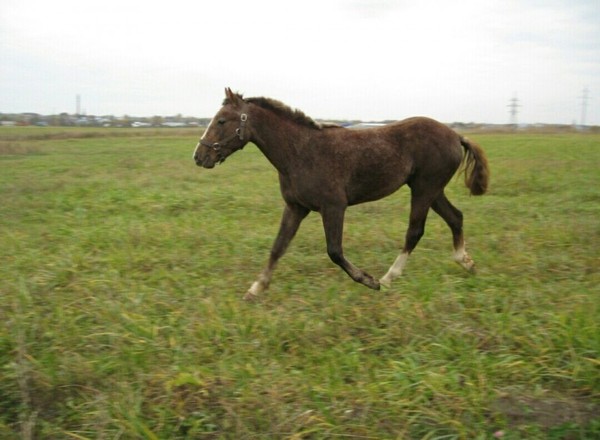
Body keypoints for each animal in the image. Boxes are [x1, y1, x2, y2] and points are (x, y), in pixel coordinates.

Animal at [195, 87, 490, 300]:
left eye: (221, 120)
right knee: (455, 217)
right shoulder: (295, 207)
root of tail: (455, 135)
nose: (199, 156)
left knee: (415, 231)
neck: (300, 152)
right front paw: (255, 290)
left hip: (424, 188)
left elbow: (334, 251)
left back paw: (388, 278)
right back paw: (466, 262)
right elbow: (278, 247)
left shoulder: (334, 206)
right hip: (430, 189)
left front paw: (368, 281)